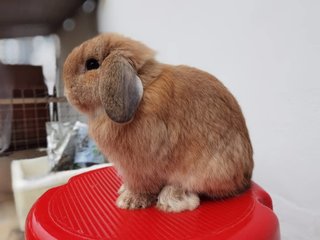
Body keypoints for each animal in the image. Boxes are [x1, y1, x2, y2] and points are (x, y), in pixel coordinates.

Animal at [63, 32, 254, 213]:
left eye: (92, 64)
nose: (65, 88)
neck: (144, 85)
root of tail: (246, 177)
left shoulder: (139, 169)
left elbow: (142, 187)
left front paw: (129, 202)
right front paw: (125, 192)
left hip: (204, 170)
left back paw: (170, 200)